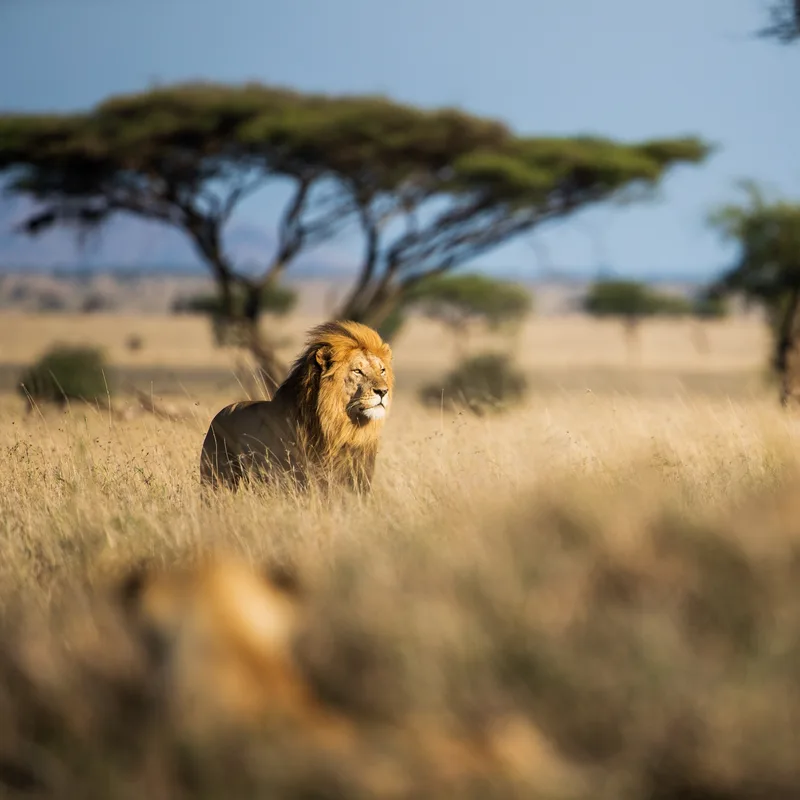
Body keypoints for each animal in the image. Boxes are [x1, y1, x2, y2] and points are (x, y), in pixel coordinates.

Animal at [199, 320, 394, 492]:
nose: (383, 391)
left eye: (382, 370)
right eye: (357, 371)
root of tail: (221, 412)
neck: (342, 431)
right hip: (215, 479)